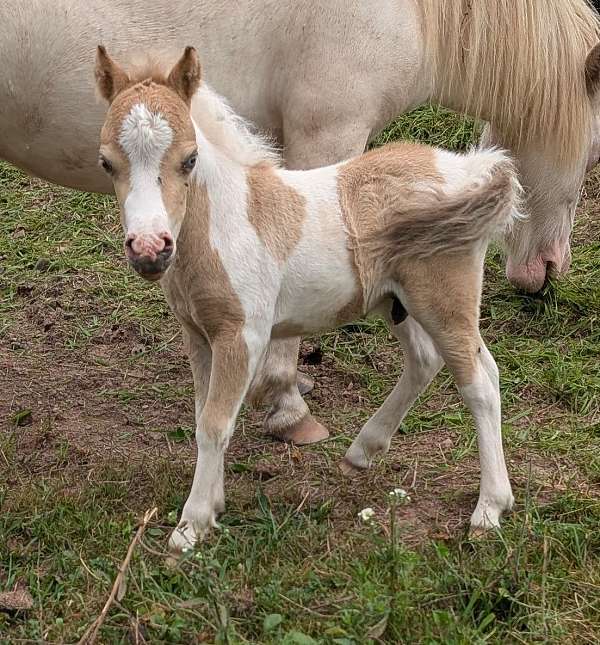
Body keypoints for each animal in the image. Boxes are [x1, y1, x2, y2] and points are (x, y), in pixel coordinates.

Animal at [94, 45, 520, 553]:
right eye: (106, 163)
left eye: (189, 159)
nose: (149, 249)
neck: (224, 223)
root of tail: (467, 170)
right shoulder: (198, 334)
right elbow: (204, 417)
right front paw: (213, 504)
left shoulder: (242, 335)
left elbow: (215, 423)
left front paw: (190, 526)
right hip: (400, 302)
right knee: (433, 361)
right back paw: (363, 451)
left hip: (444, 298)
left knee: (479, 384)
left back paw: (489, 509)